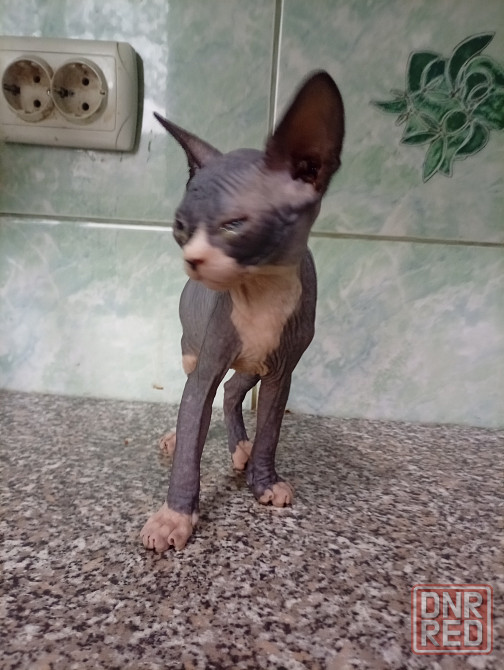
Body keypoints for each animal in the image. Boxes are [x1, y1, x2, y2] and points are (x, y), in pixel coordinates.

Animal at [141, 71, 344, 551]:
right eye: (180, 226)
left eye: (234, 226)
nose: (192, 260)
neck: (261, 289)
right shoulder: (207, 366)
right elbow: (193, 420)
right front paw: (175, 517)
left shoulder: (281, 371)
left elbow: (270, 430)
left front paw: (264, 481)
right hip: (193, 351)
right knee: (205, 393)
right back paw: (182, 438)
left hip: (259, 363)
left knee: (234, 392)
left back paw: (243, 448)